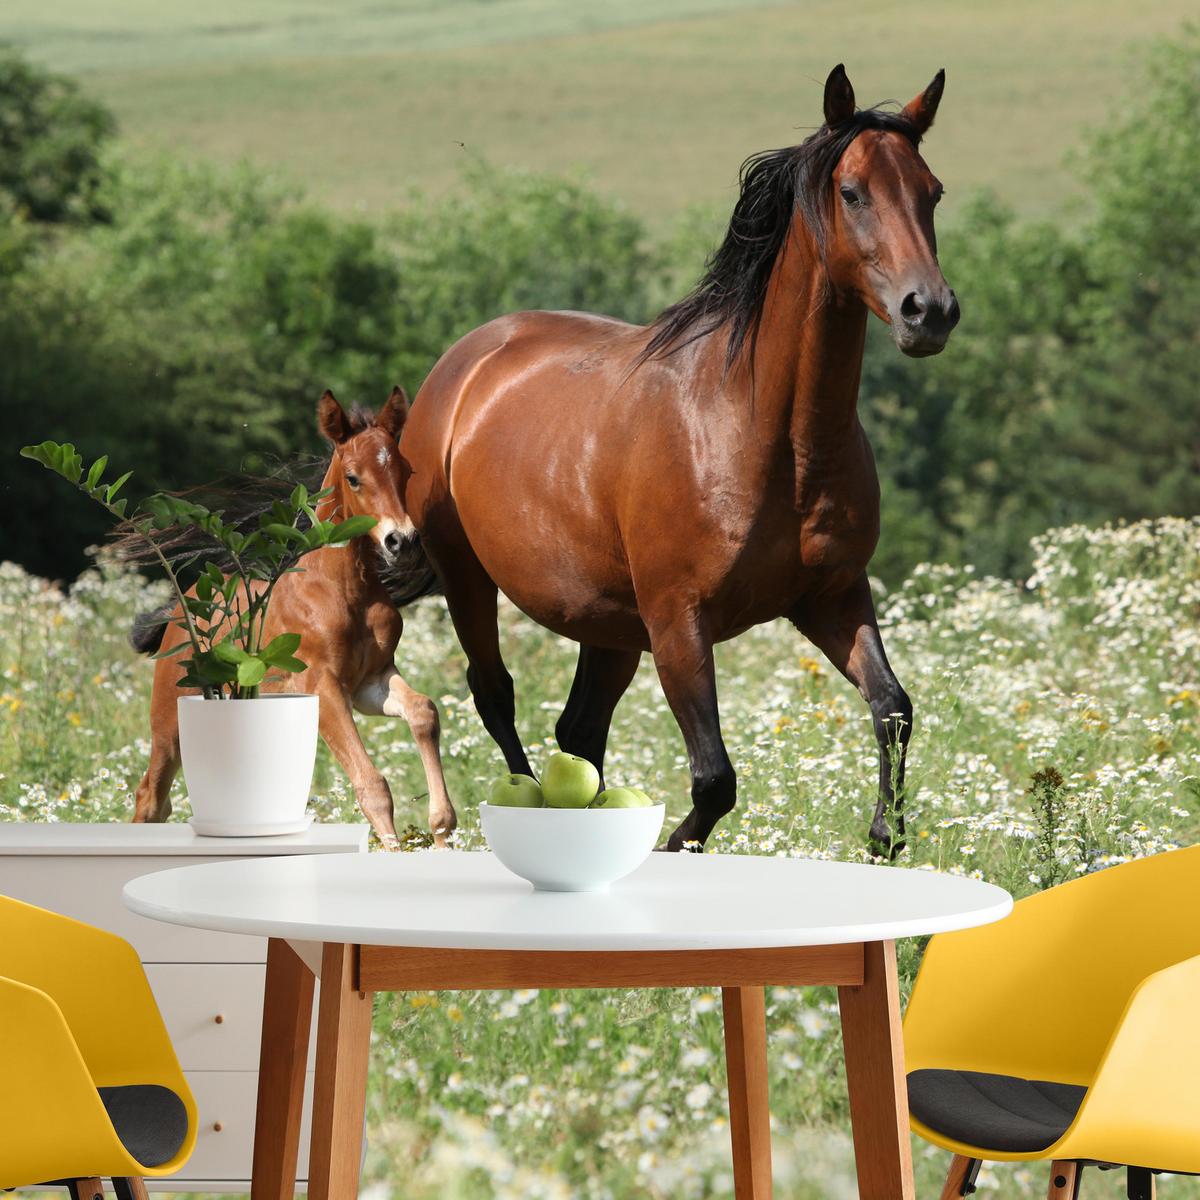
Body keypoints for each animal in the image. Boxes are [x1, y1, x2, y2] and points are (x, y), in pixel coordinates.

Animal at [129, 389, 457, 849]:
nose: (402, 541)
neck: (344, 587)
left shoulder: (371, 683)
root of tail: (181, 609)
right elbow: (372, 786)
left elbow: (424, 711)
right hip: (170, 718)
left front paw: (443, 829)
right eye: (353, 477)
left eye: (405, 471)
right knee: (151, 796)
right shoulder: (322, 685)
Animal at [399, 64, 959, 855]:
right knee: (497, 696)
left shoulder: (833, 597)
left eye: (931, 191)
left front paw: (884, 835)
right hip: (470, 581)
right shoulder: (679, 625)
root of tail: (463, 363)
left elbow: (893, 706)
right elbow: (715, 780)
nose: (929, 312)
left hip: (606, 623)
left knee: (578, 731)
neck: (771, 437)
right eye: (852, 192)